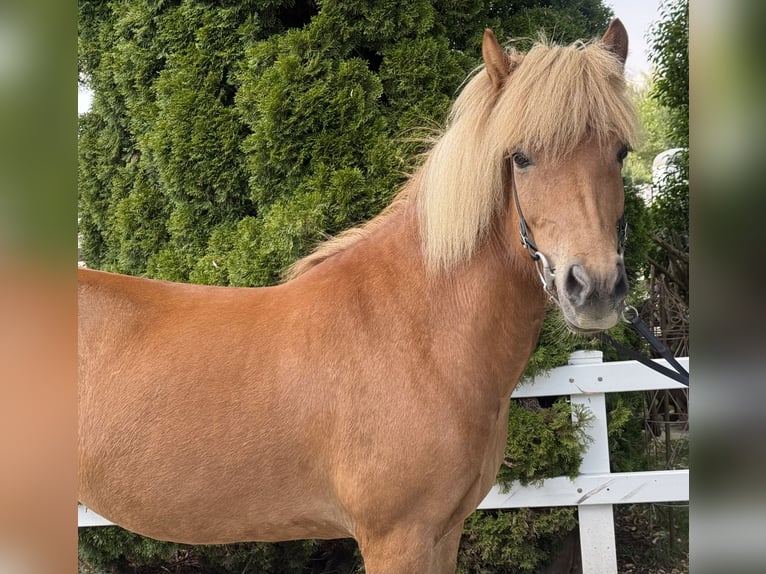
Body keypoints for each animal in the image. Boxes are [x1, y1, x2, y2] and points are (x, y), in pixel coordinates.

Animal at [78, 19, 636, 573]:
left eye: (620, 152)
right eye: (521, 157)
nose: (594, 289)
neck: (419, 329)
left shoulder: (443, 533)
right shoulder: (399, 538)